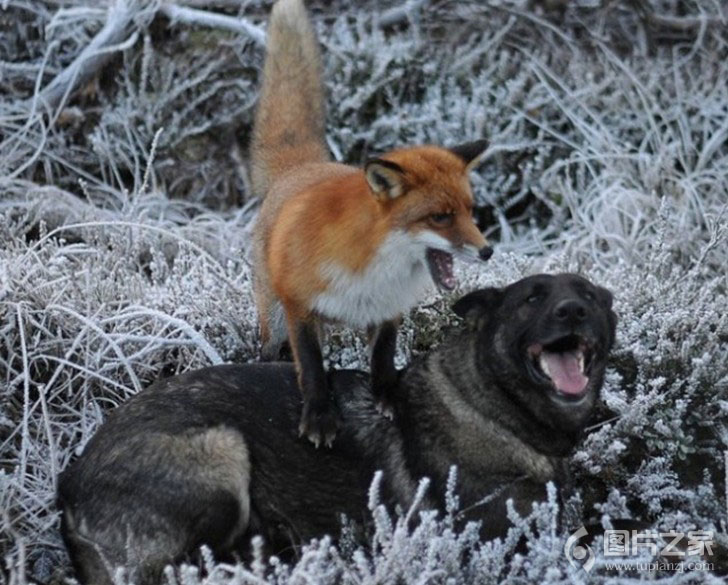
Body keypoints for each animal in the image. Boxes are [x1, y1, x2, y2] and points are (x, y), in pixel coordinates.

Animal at [57, 274, 616, 584]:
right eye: (530, 300)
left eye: (589, 295)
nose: (574, 310)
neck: (496, 406)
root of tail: (69, 490)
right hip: (222, 450)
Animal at [252, 0, 494, 448]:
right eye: (440, 217)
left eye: (471, 211)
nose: (487, 251)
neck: (371, 264)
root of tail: (302, 169)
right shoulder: (299, 305)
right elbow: (312, 368)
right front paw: (320, 416)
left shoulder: (387, 309)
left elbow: (383, 359)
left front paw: (389, 398)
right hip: (272, 320)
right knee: (272, 350)